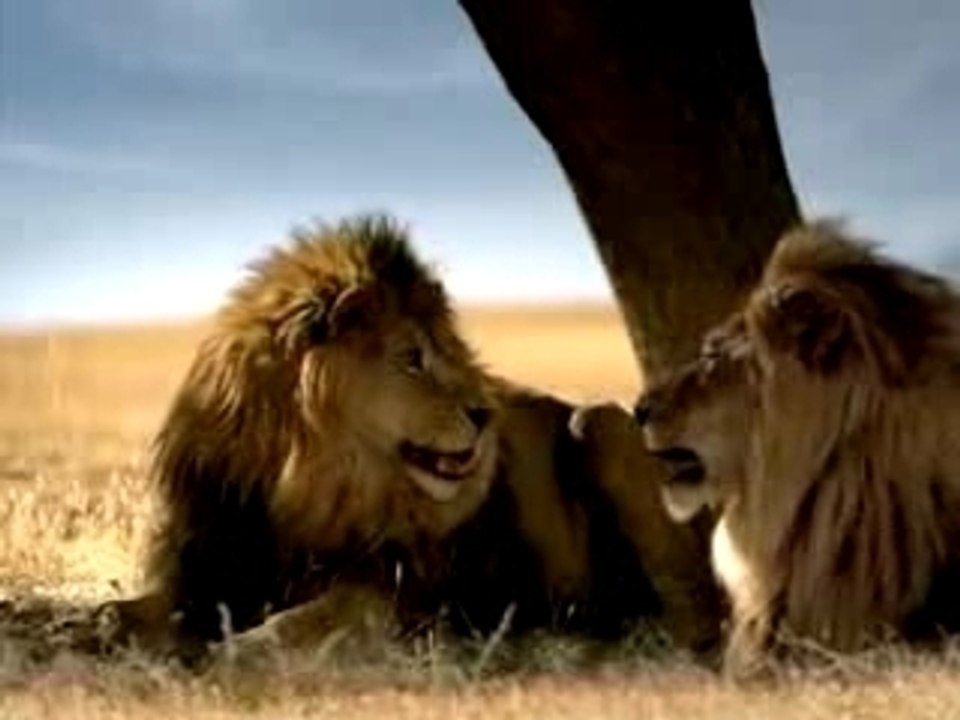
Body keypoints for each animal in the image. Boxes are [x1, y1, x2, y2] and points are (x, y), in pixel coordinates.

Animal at [104, 212, 721, 665]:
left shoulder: (404, 593)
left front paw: (232, 652)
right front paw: (98, 632)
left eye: (447, 352)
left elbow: (310, 617)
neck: (306, 483)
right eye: (411, 358)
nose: (484, 414)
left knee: (694, 612)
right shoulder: (213, 565)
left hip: (600, 422)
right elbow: (124, 611)